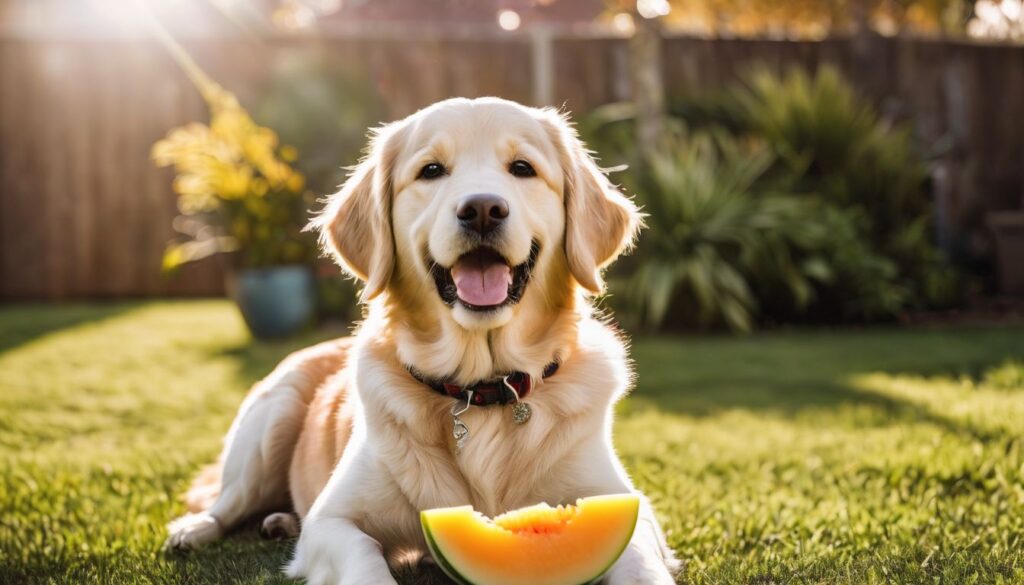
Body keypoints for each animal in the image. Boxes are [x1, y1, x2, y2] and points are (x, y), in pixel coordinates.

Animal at [165, 97, 679, 585]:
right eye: (431, 171)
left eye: (522, 168)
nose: (482, 210)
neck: (482, 390)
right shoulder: (331, 521)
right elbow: (364, 555)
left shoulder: (629, 507)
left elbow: (639, 560)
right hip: (271, 419)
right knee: (227, 501)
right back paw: (194, 530)